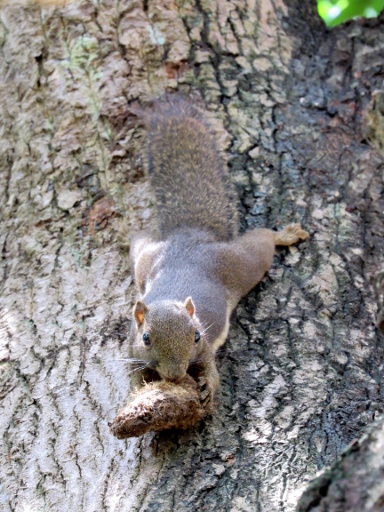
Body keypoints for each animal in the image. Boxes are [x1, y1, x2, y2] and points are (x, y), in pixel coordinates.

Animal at [127, 96, 308, 408]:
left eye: (197, 335)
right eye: (146, 338)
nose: (176, 375)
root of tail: (192, 234)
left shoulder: (207, 348)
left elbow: (211, 369)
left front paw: (208, 386)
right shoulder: (130, 347)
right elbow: (133, 374)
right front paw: (140, 389)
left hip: (243, 263)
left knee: (264, 242)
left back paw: (283, 235)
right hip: (145, 259)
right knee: (139, 241)